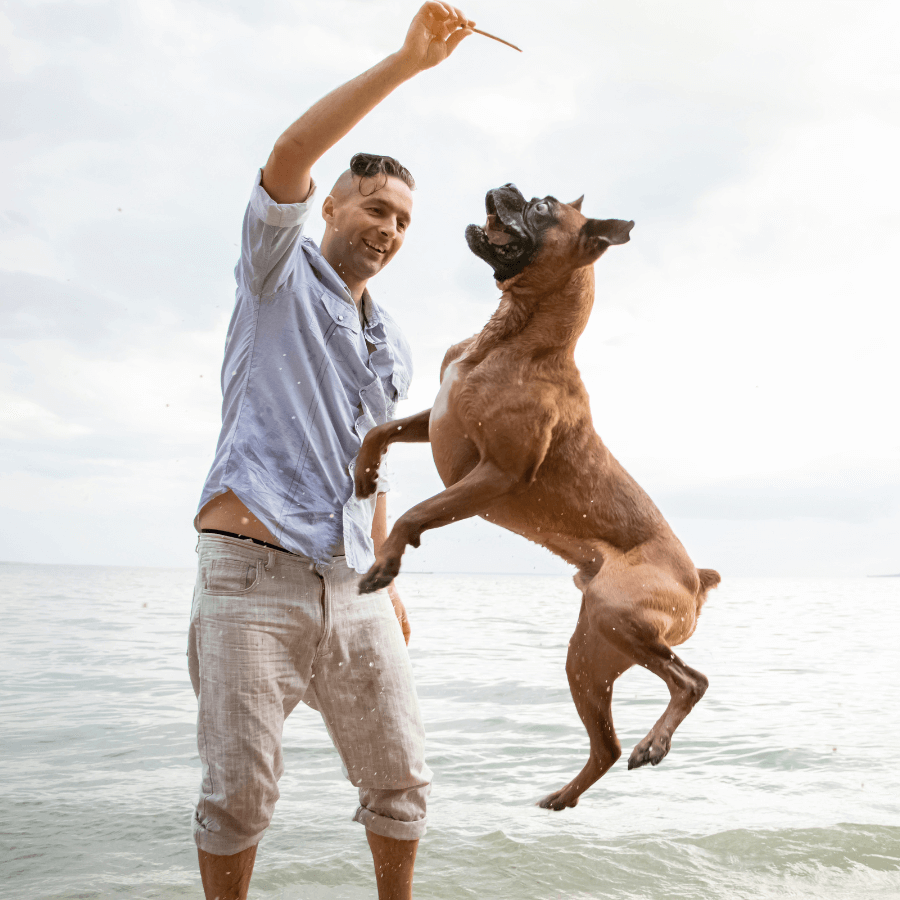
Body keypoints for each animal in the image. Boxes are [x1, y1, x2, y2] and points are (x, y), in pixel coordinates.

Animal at [356, 183, 720, 808]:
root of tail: (697, 582)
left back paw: (654, 743)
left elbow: (415, 512)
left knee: (690, 681)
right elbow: (379, 431)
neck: (514, 334)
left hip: (616, 612)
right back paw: (566, 795)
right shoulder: (435, 422)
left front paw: (387, 563)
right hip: (588, 656)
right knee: (608, 745)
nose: (507, 188)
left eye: (543, 206)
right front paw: (362, 473)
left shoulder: (495, 473)